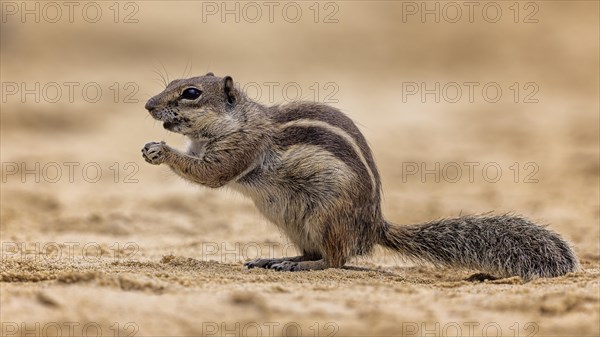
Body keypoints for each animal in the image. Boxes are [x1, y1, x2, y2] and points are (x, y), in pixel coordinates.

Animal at [143, 73, 580, 278]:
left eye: (191, 93)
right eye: (171, 83)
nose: (148, 105)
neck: (239, 120)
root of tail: (373, 226)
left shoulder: (242, 149)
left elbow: (213, 173)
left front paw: (160, 151)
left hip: (325, 216)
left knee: (334, 260)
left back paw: (302, 267)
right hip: (293, 221)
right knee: (315, 252)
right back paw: (278, 259)